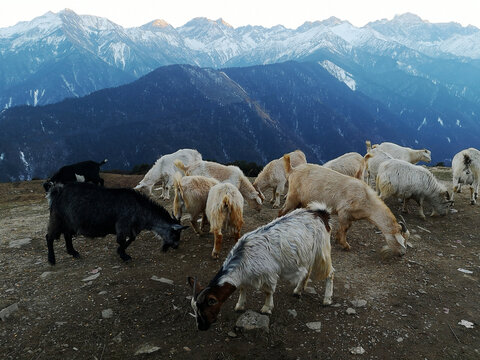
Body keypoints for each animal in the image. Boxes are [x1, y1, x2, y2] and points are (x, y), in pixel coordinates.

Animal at [45, 183, 188, 264]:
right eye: (175, 234)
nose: (176, 246)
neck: (140, 209)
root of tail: (58, 192)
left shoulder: (131, 228)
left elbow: (131, 239)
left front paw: (121, 252)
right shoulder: (122, 225)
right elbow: (121, 240)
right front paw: (124, 256)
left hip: (69, 222)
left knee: (67, 235)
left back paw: (73, 252)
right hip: (57, 218)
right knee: (49, 237)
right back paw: (52, 260)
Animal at [188, 201, 334, 330]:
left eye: (206, 307)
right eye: (194, 309)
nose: (201, 327)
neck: (244, 256)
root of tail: (321, 213)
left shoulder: (269, 274)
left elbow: (268, 291)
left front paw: (266, 308)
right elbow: (242, 288)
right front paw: (240, 305)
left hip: (322, 251)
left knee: (330, 273)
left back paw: (327, 299)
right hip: (307, 253)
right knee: (307, 271)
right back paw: (298, 290)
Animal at [278, 154, 408, 256]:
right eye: (400, 240)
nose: (402, 254)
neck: (366, 198)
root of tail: (293, 170)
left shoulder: (351, 216)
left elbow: (346, 228)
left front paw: (337, 239)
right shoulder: (344, 212)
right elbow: (345, 228)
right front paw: (345, 245)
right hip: (293, 196)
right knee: (282, 211)